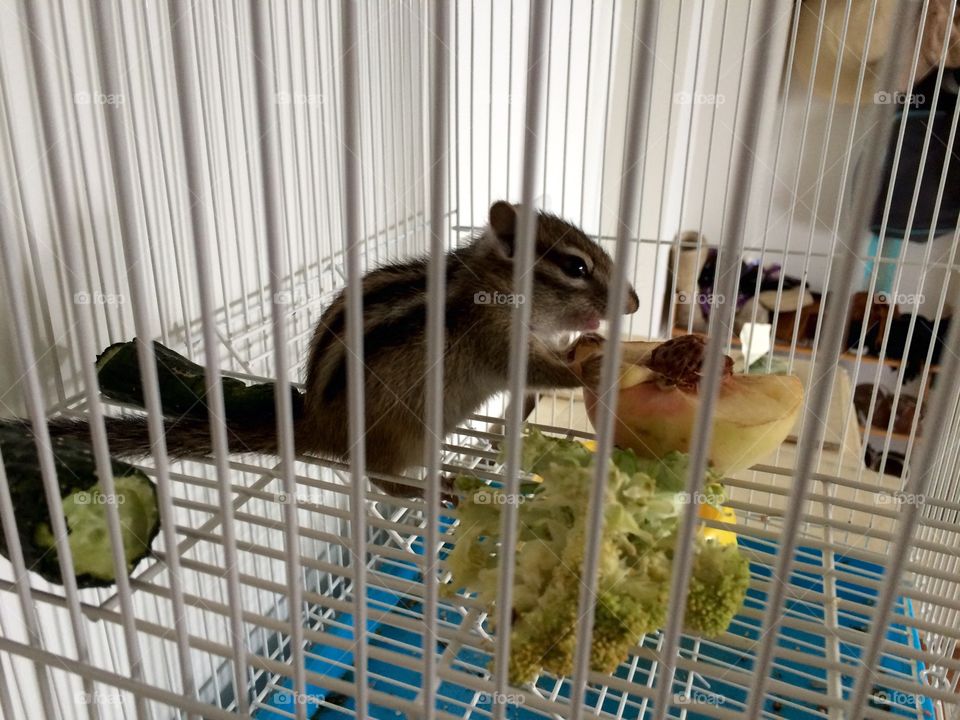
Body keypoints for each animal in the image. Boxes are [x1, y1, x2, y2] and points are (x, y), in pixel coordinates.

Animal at [37, 202, 639, 498]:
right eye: (575, 267)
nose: (633, 303)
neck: (489, 283)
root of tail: (316, 426)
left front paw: (591, 344)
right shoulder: (498, 339)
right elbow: (538, 371)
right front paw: (594, 368)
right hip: (405, 436)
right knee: (379, 481)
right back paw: (433, 492)